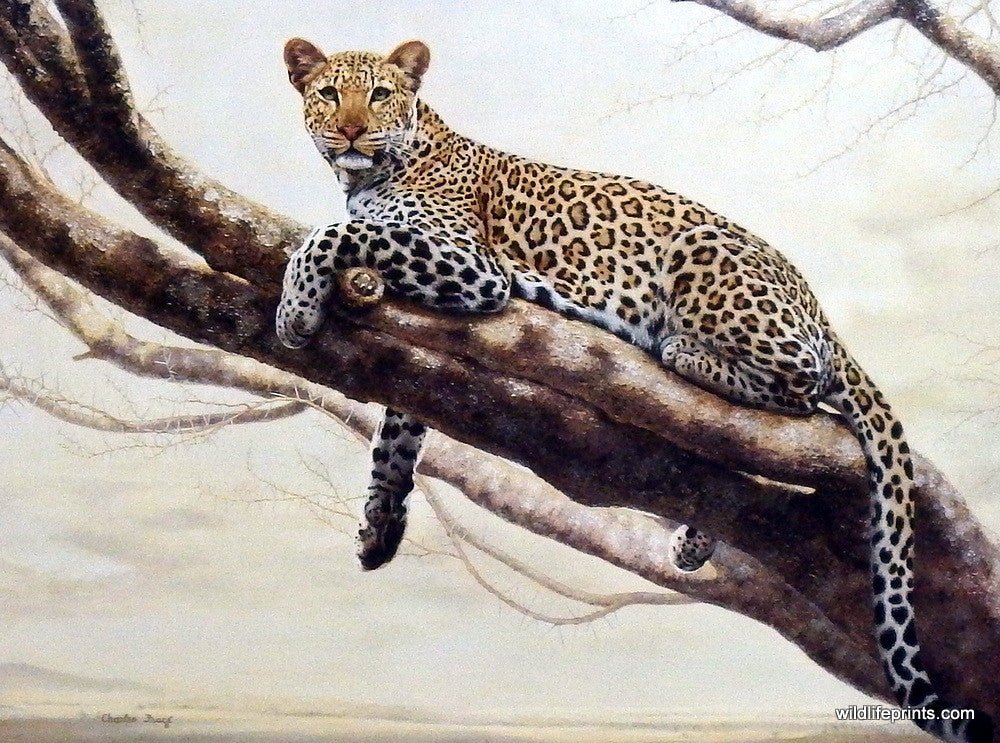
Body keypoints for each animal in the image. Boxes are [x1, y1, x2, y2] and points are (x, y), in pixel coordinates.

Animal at [274, 37, 992, 743]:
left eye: (380, 95)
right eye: (329, 93)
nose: (350, 131)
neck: (369, 176)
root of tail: (816, 305)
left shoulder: (471, 268)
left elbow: (337, 234)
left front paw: (295, 308)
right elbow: (401, 422)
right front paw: (379, 523)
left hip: (709, 261)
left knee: (801, 386)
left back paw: (680, 351)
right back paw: (696, 532)